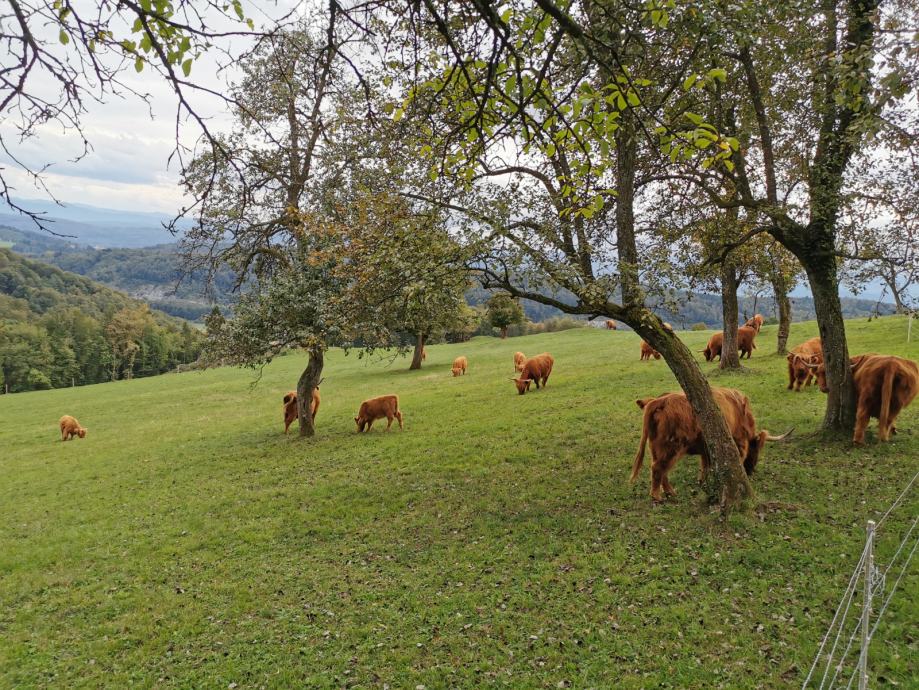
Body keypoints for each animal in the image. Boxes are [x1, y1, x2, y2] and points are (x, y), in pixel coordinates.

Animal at [632, 388, 792, 500]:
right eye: (756, 450)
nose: (751, 471)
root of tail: (660, 401)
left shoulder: (706, 449)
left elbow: (705, 467)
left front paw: (703, 483)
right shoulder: (738, 443)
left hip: (657, 448)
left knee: (661, 469)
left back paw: (670, 492)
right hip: (671, 448)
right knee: (658, 468)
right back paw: (657, 496)